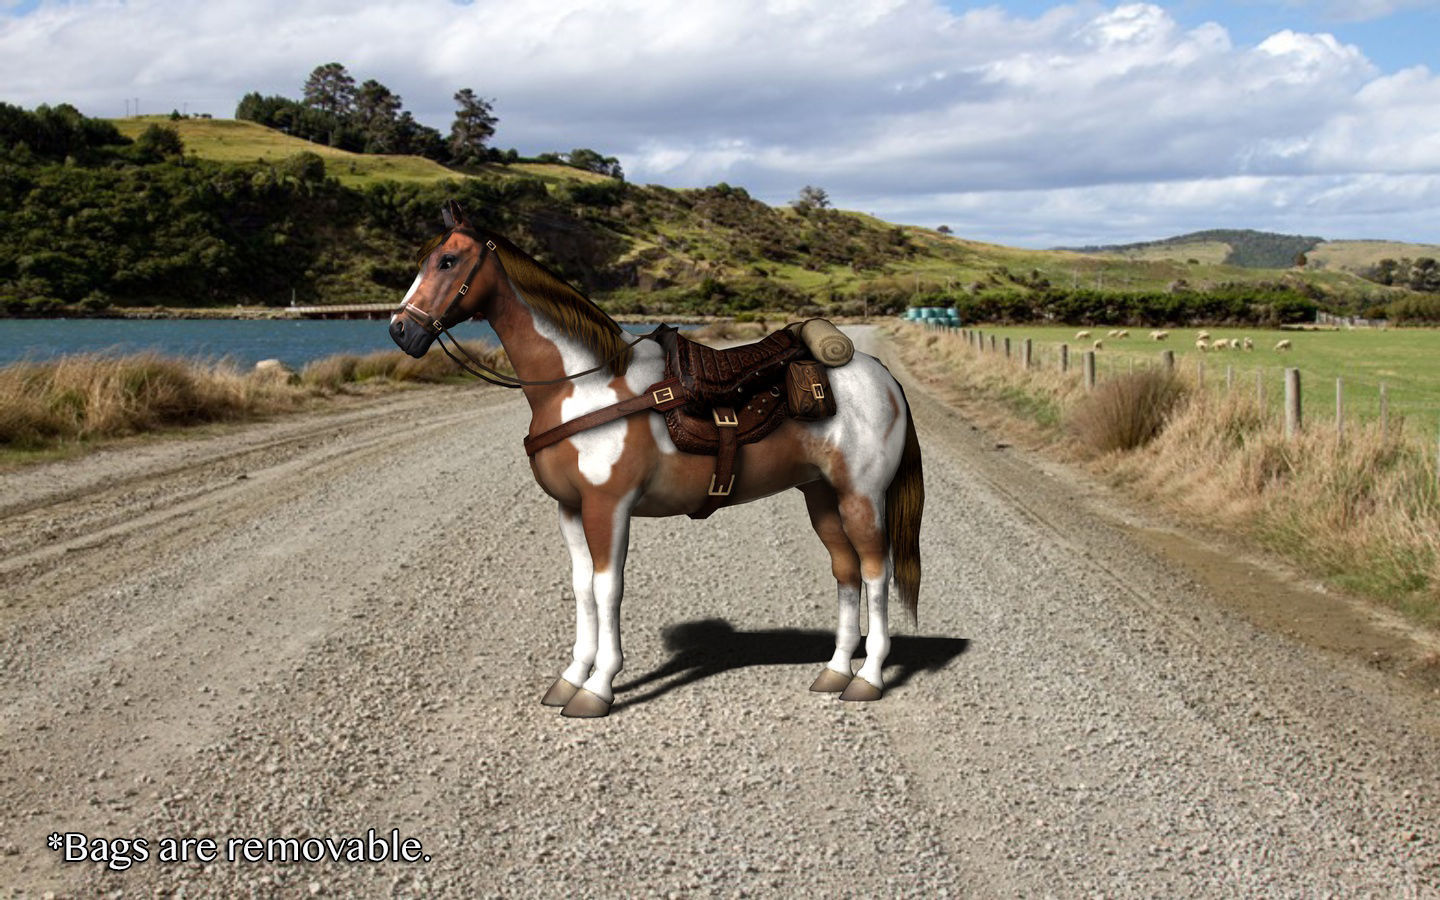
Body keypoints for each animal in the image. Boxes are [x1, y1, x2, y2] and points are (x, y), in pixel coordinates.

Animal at [388, 200, 924, 718]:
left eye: (448, 261)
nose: (399, 331)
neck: (583, 385)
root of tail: (883, 378)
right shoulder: (570, 510)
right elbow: (582, 587)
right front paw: (570, 678)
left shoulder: (609, 508)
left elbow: (608, 588)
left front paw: (597, 688)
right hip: (822, 496)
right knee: (846, 571)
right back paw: (834, 671)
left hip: (861, 497)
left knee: (876, 572)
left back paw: (868, 678)